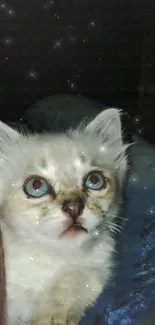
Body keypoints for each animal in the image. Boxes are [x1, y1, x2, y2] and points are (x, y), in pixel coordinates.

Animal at [0, 108, 128, 324]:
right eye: (36, 186)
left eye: (95, 180)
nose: (74, 207)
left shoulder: (95, 267)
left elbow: (72, 283)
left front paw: (52, 315)